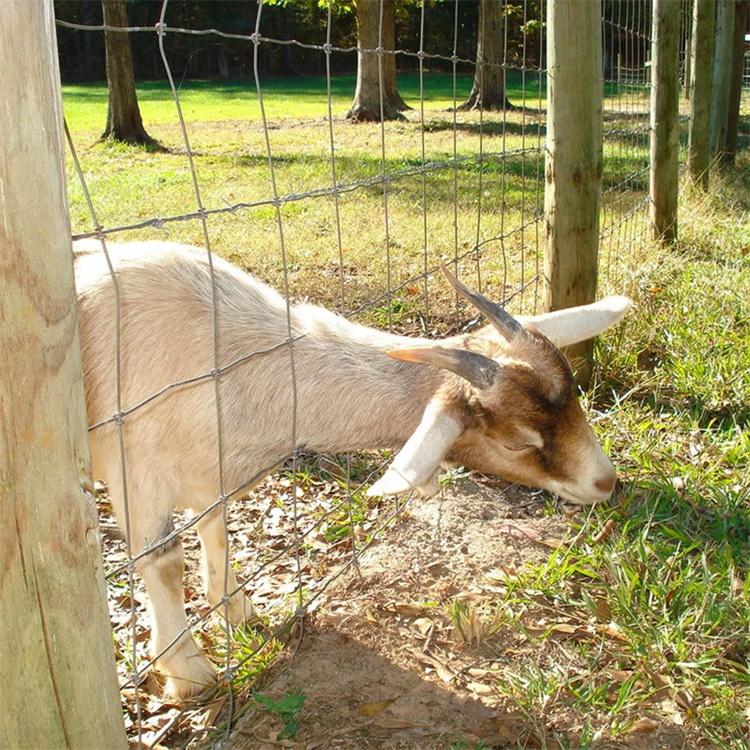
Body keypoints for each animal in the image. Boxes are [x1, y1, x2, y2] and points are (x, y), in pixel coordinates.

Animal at [74, 239, 632, 698]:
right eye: (517, 440)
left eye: (575, 400)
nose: (606, 482)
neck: (230, 354)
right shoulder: (138, 476)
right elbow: (164, 562)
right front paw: (189, 672)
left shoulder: (214, 472)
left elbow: (215, 527)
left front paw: (236, 608)